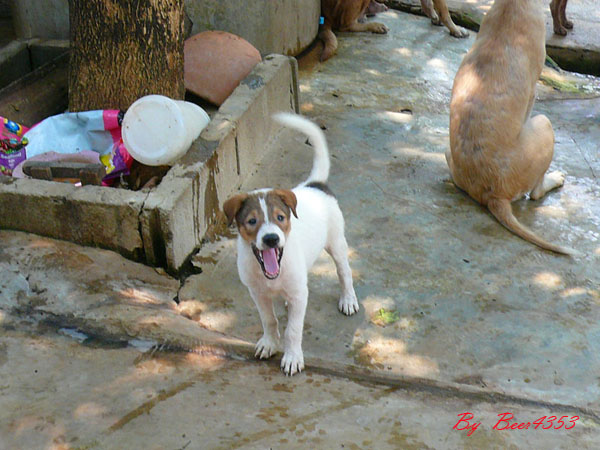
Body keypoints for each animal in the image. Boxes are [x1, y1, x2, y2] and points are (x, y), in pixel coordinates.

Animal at [223, 113, 359, 376]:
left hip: (336, 242)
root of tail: (314, 184)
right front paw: (269, 343)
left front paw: (292, 356)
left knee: (344, 271)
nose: (271, 238)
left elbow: (293, 330)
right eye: (252, 221)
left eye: (280, 217)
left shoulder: (298, 294)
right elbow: (269, 320)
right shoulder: (257, 293)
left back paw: (348, 299)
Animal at [319, 0, 468, 61]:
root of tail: (324, 15)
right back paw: (375, 25)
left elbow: (429, 3)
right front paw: (455, 29)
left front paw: (434, 16)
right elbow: (444, 10)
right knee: (345, 25)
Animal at [446, 0, 577, 256]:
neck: (512, 4)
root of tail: (493, 196)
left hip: (448, 155)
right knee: (535, 193)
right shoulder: (533, 93)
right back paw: (555, 178)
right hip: (545, 123)